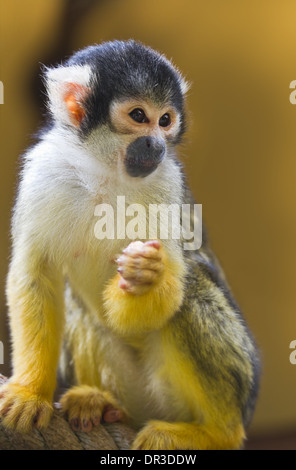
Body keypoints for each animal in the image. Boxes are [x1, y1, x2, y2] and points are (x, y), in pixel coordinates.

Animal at [0, 42, 260, 450]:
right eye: (139, 116)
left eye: (165, 120)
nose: (156, 142)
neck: (105, 171)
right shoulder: (43, 170)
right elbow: (35, 274)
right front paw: (29, 393)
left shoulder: (166, 180)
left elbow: (170, 293)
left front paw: (146, 277)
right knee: (77, 304)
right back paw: (101, 403)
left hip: (213, 387)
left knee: (193, 287)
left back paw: (215, 432)